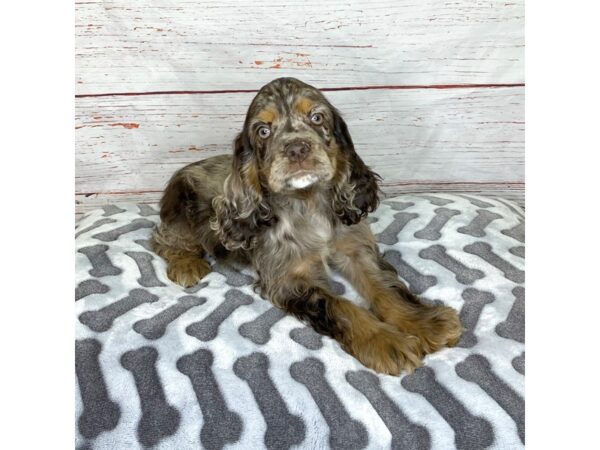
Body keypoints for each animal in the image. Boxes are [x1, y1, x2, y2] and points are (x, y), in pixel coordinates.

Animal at [152, 78, 462, 376]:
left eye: (316, 117)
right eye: (263, 131)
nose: (296, 148)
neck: (307, 202)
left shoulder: (355, 250)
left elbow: (385, 287)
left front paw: (424, 324)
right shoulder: (289, 278)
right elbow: (340, 304)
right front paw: (385, 342)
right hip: (181, 208)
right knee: (163, 239)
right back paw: (186, 265)